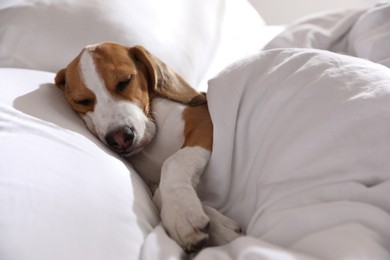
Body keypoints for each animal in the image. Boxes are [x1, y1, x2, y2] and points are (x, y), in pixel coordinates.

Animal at [54, 42, 241, 252]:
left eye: (125, 81)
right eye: (82, 101)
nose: (120, 138)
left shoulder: (204, 122)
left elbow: (172, 162)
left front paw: (182, 212)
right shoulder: (151, 183)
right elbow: (158, 192)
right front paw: (216, 224)